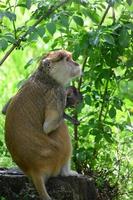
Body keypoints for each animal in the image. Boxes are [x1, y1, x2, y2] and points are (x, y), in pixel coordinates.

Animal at [4, 49, 81, 200]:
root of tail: (34, 170)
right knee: (61, 128)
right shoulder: (57, 93)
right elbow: (48, 127)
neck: (46, 77)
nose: (76, 64)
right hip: (54, 156)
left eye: (71, 58)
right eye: (67, 60)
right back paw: (67, 173)